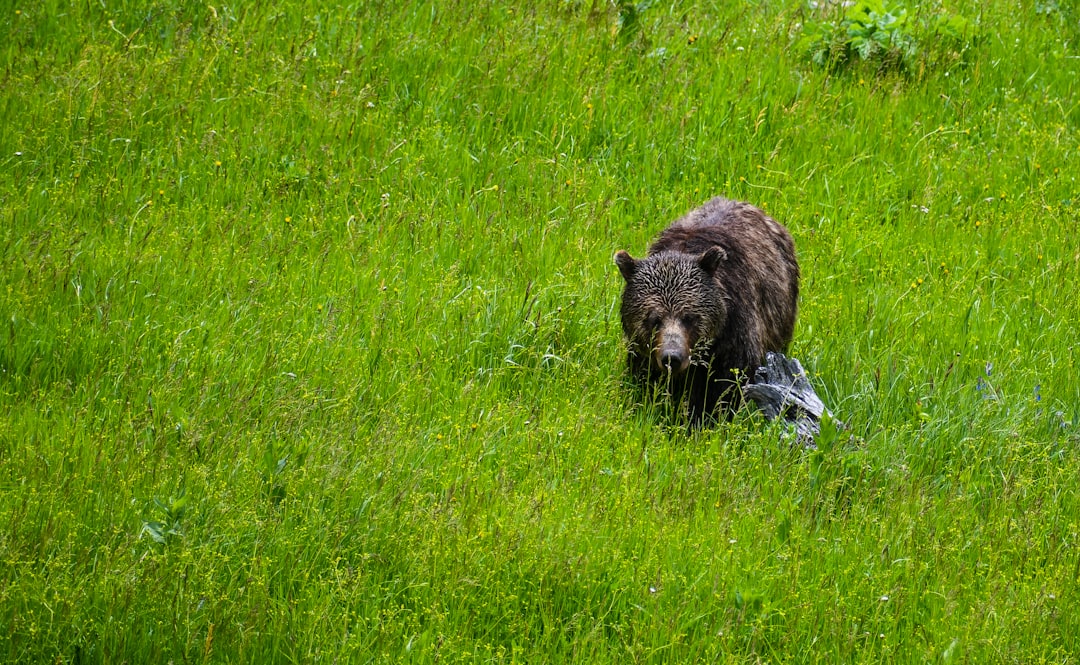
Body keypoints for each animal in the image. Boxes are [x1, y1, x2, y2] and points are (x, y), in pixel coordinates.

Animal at [613, 197, 799, 425]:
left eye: (689, 317)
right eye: (654, 319)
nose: (671, 358)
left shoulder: (733, 336)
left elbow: (725, 386)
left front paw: (705, 419)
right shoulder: (643, 350)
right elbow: (646, 380)